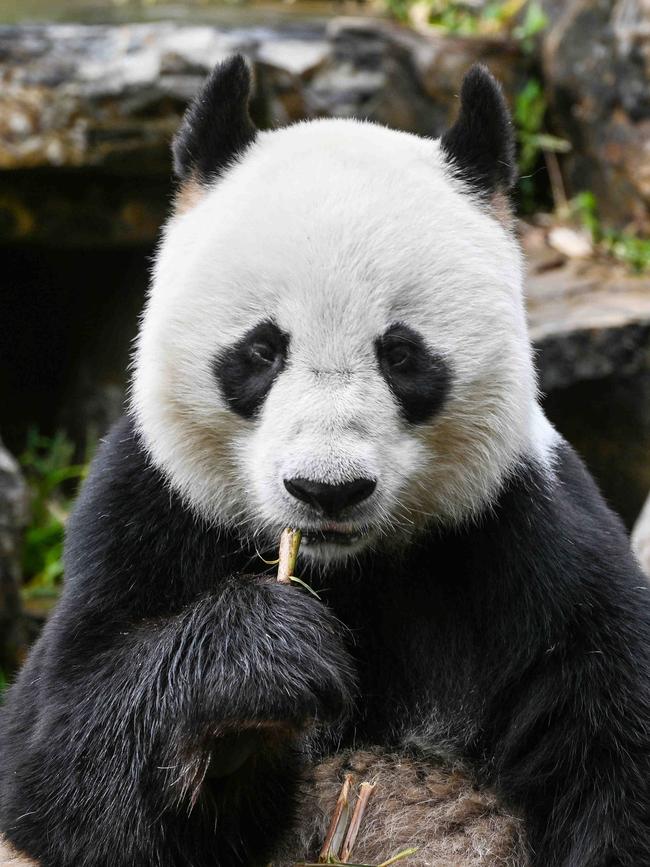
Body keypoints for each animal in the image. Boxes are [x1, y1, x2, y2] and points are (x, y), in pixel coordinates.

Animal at [1, 54, 648, 867]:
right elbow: (56, 754)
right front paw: (264, 665)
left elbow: (614, 749)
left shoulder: (527, 536)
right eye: (260, 350)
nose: (327, 490)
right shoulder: (148, 509)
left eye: (401, 354)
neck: (347, 572)